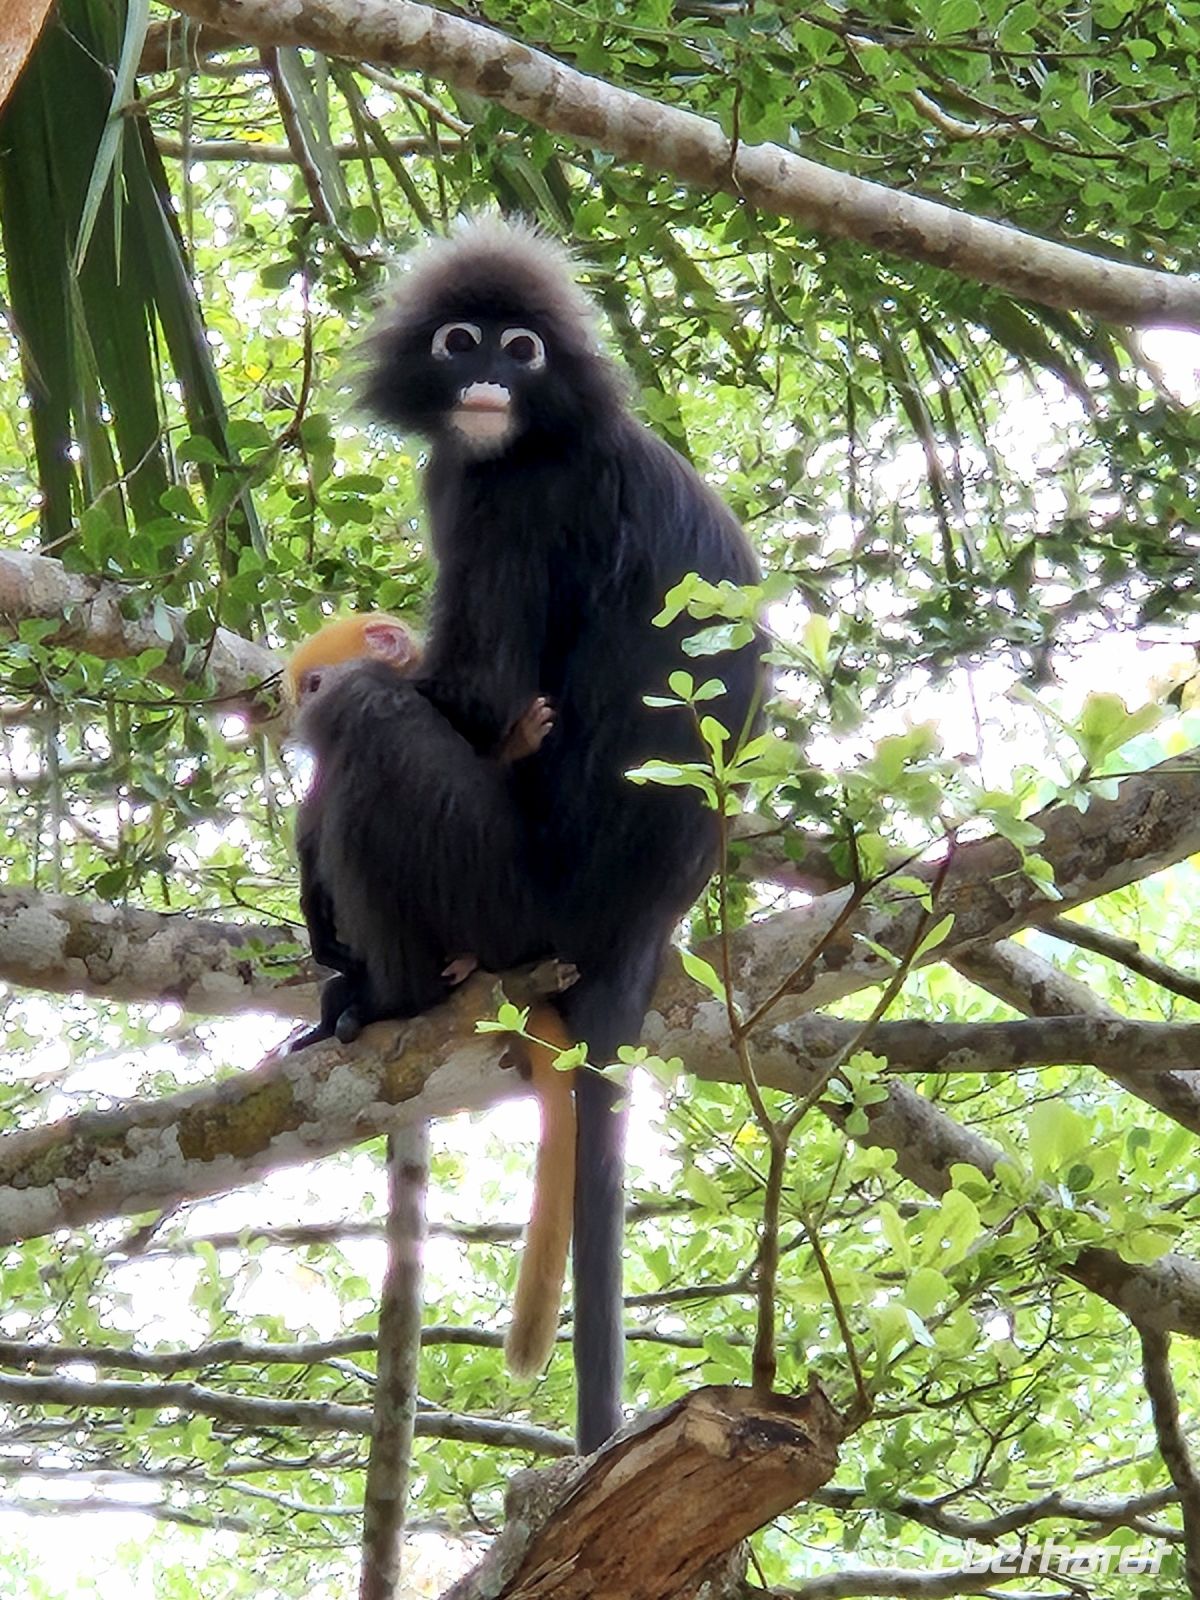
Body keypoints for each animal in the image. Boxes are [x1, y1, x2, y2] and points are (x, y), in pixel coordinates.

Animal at [363, 217, 766, 1450]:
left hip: (511, 890)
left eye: (525, 348)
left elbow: (477, 695)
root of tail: (636, 925)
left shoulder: (505, 501)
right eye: (461, 340)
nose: (491, 377)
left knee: (368, 726)